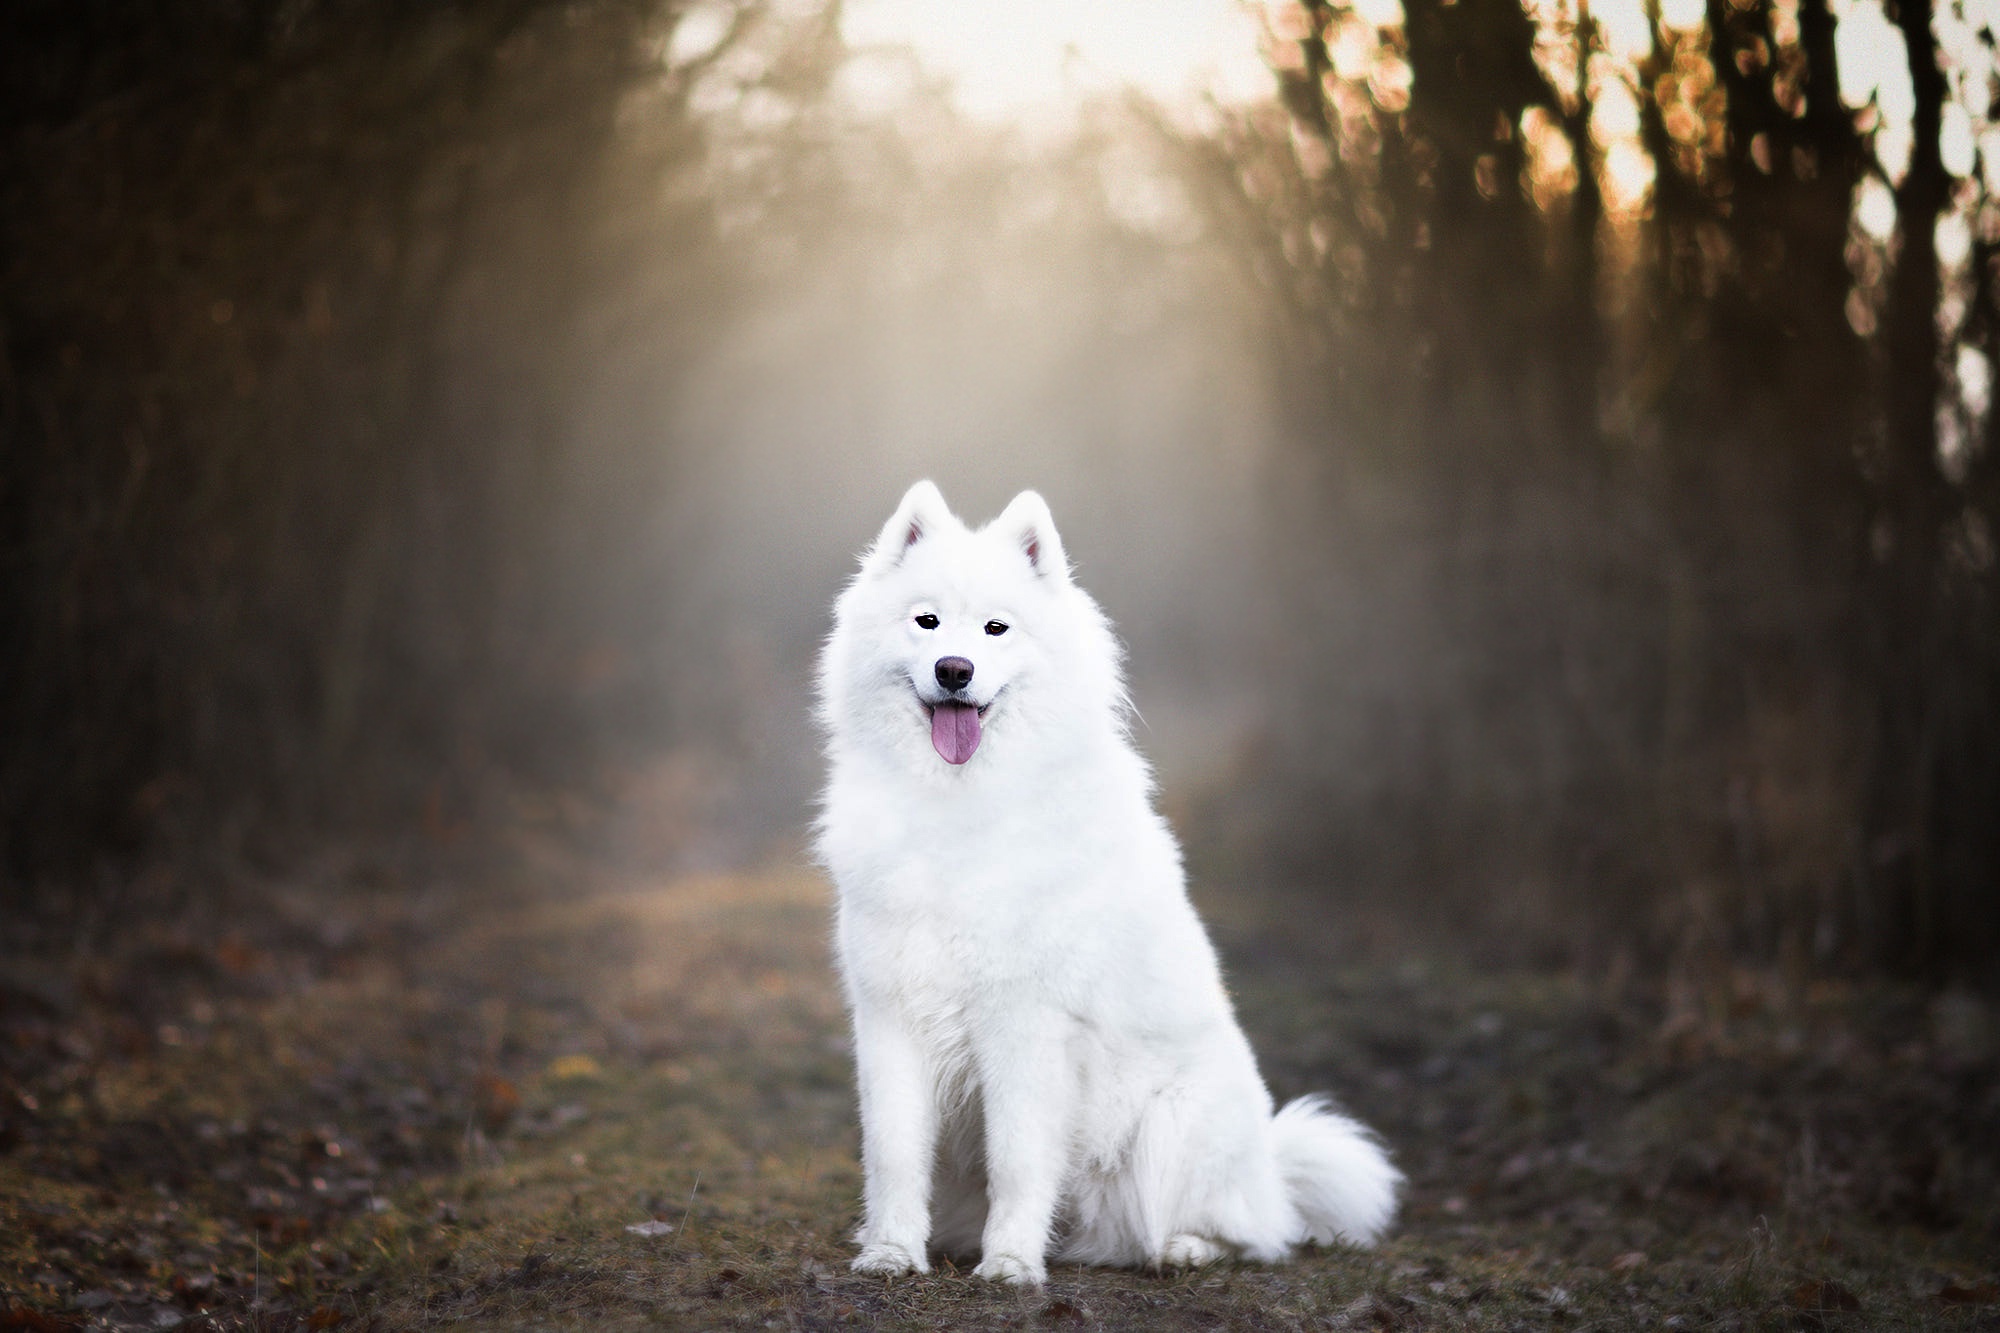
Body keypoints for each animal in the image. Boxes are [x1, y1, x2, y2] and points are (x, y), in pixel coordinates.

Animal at [812, 478, 1408, 1280]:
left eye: (996, 629)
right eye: (926, 621)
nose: (954, 669)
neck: (954, 803)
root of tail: (1271, 1170)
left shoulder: (1025, 1025)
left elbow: (1018, 1159)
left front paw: (1011, 1265)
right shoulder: (889, 1016)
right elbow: (894, 1153)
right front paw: (891, 1251)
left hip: (1173, 1125)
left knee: (1247, 1230)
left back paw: (1185, 1247)